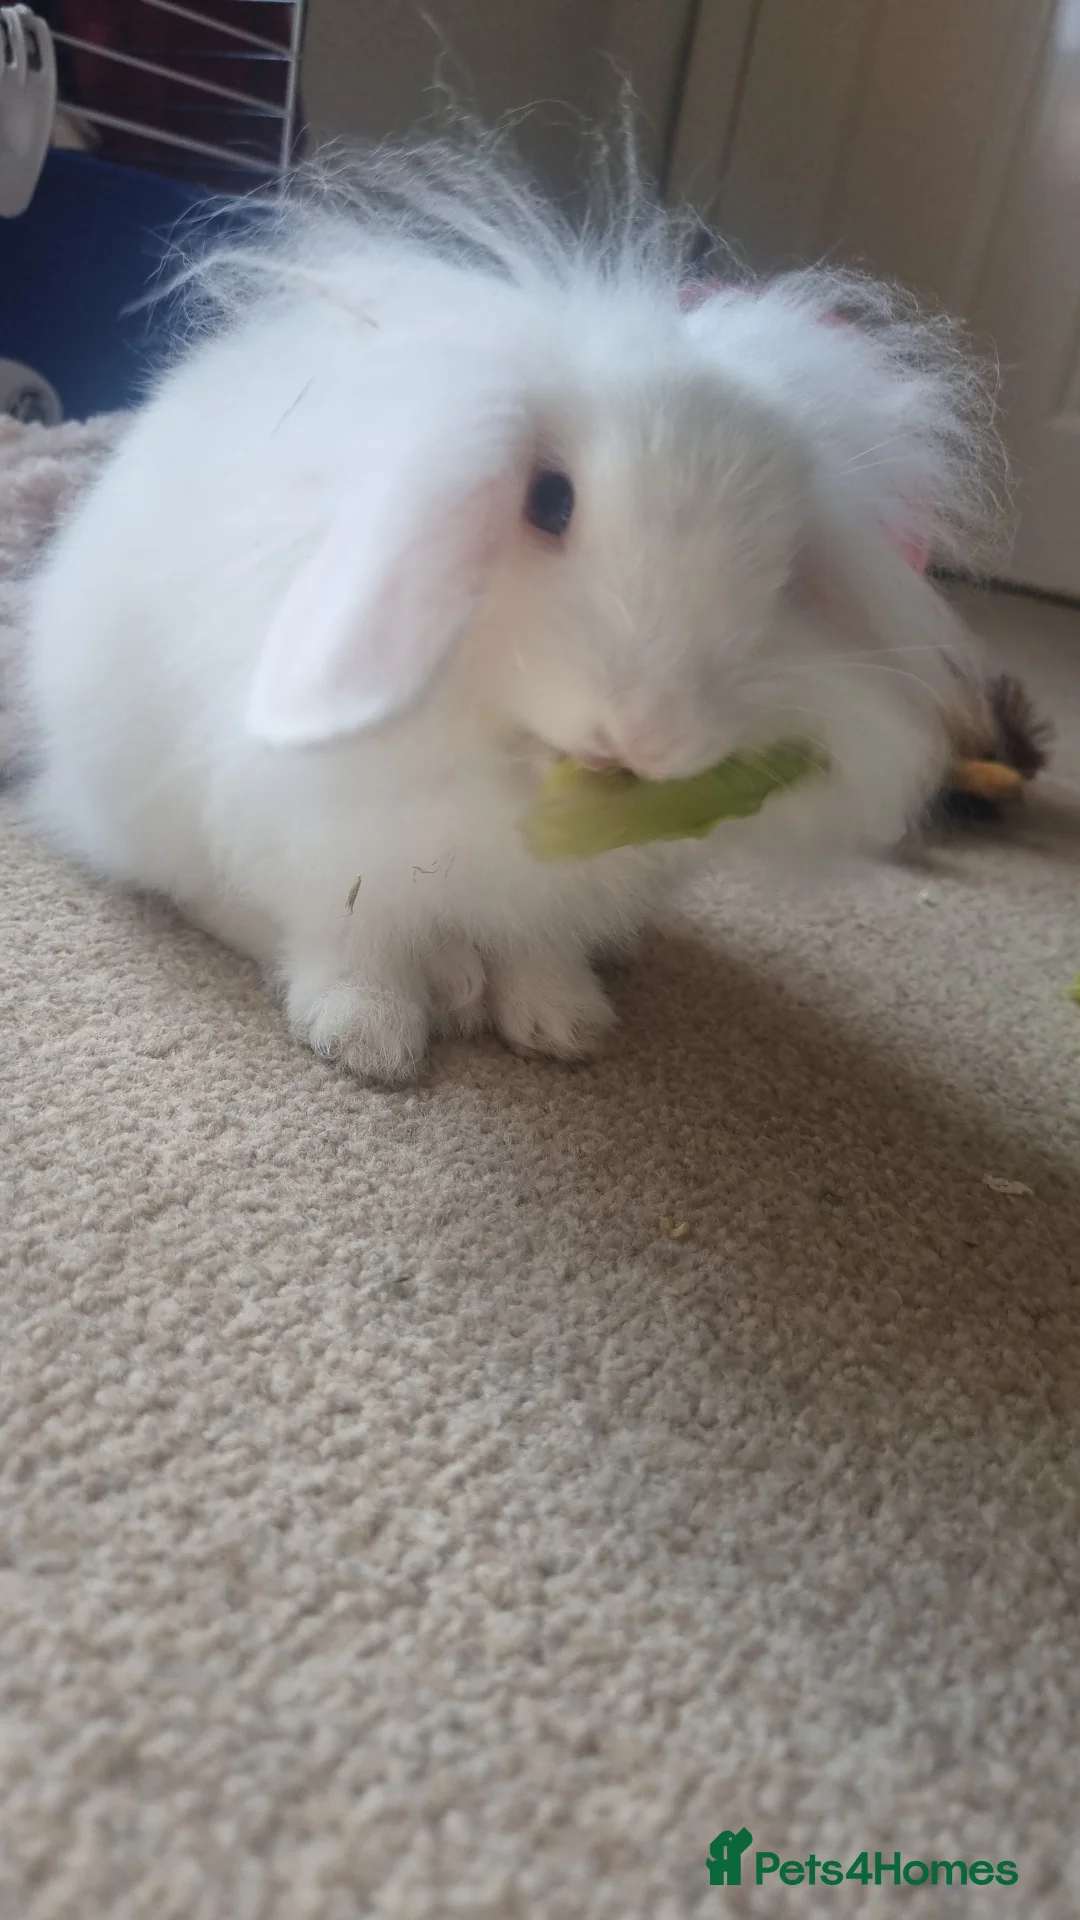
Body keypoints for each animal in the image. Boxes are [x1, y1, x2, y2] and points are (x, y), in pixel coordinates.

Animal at [21, 136, 1000, 1082]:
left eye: (789, 566)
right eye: (548, 501)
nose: (648, 737)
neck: (501, 771)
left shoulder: (560, 890)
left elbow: (539, 948)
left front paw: (563, 1025)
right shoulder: (327, 842)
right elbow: (352, 937)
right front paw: (369, 1038)